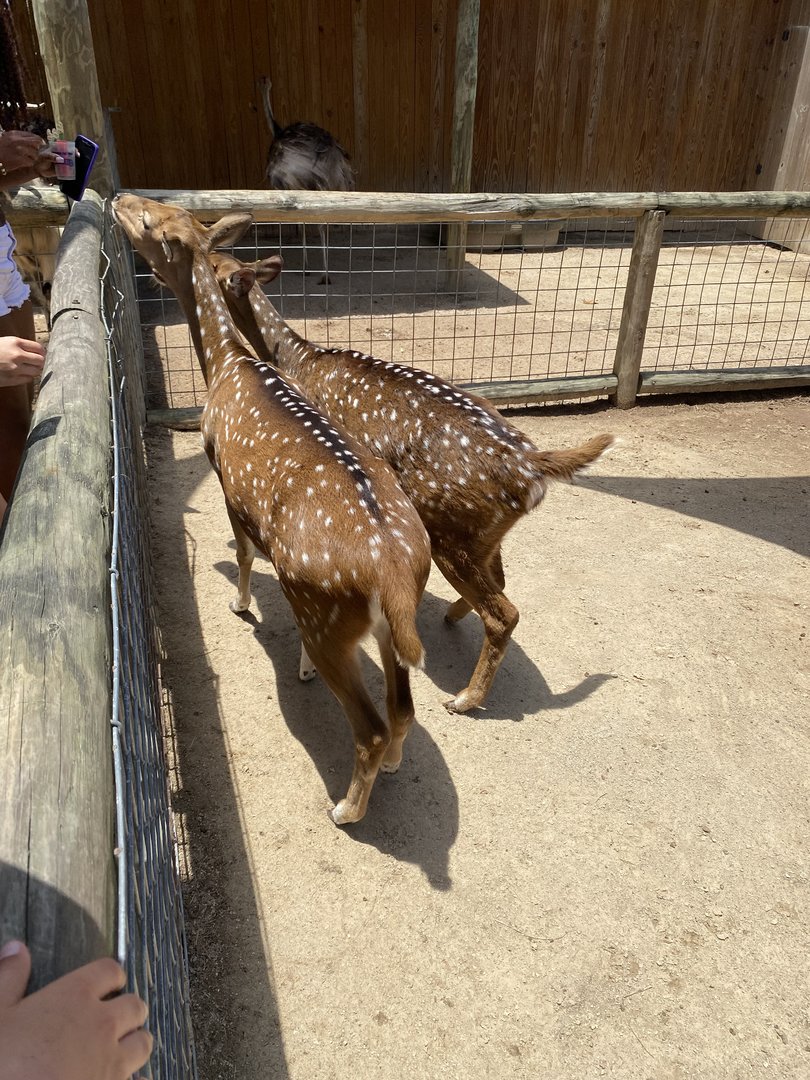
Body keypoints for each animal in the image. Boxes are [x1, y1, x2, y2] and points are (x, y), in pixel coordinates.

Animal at [111, 194, 432, 826]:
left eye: (149, 223)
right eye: (166, 207)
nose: (118, 199)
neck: (226, 365)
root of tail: (392, 572)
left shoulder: (222, 475)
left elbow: (241, 552)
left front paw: (238, 606)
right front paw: (294, 658)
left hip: (325, 607)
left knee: (371, 727)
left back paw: (345, 809)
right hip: (388, 628)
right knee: (403, 709)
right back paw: (392, 765)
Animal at [208, 250, 615, 715]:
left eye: (218, 266)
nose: (207, 255)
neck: (301, 360)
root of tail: (531, 466)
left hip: (450, 532)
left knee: (504, 613)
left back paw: (464, 699)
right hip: (482, 533)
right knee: (499, 583)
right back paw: (452, 618)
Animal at [259, 76, 354, 284]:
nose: (263, 80)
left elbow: (302, 223)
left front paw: (306, 267)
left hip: (308, 184)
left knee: (319, 223)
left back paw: (325, 275)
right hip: (327, 187)